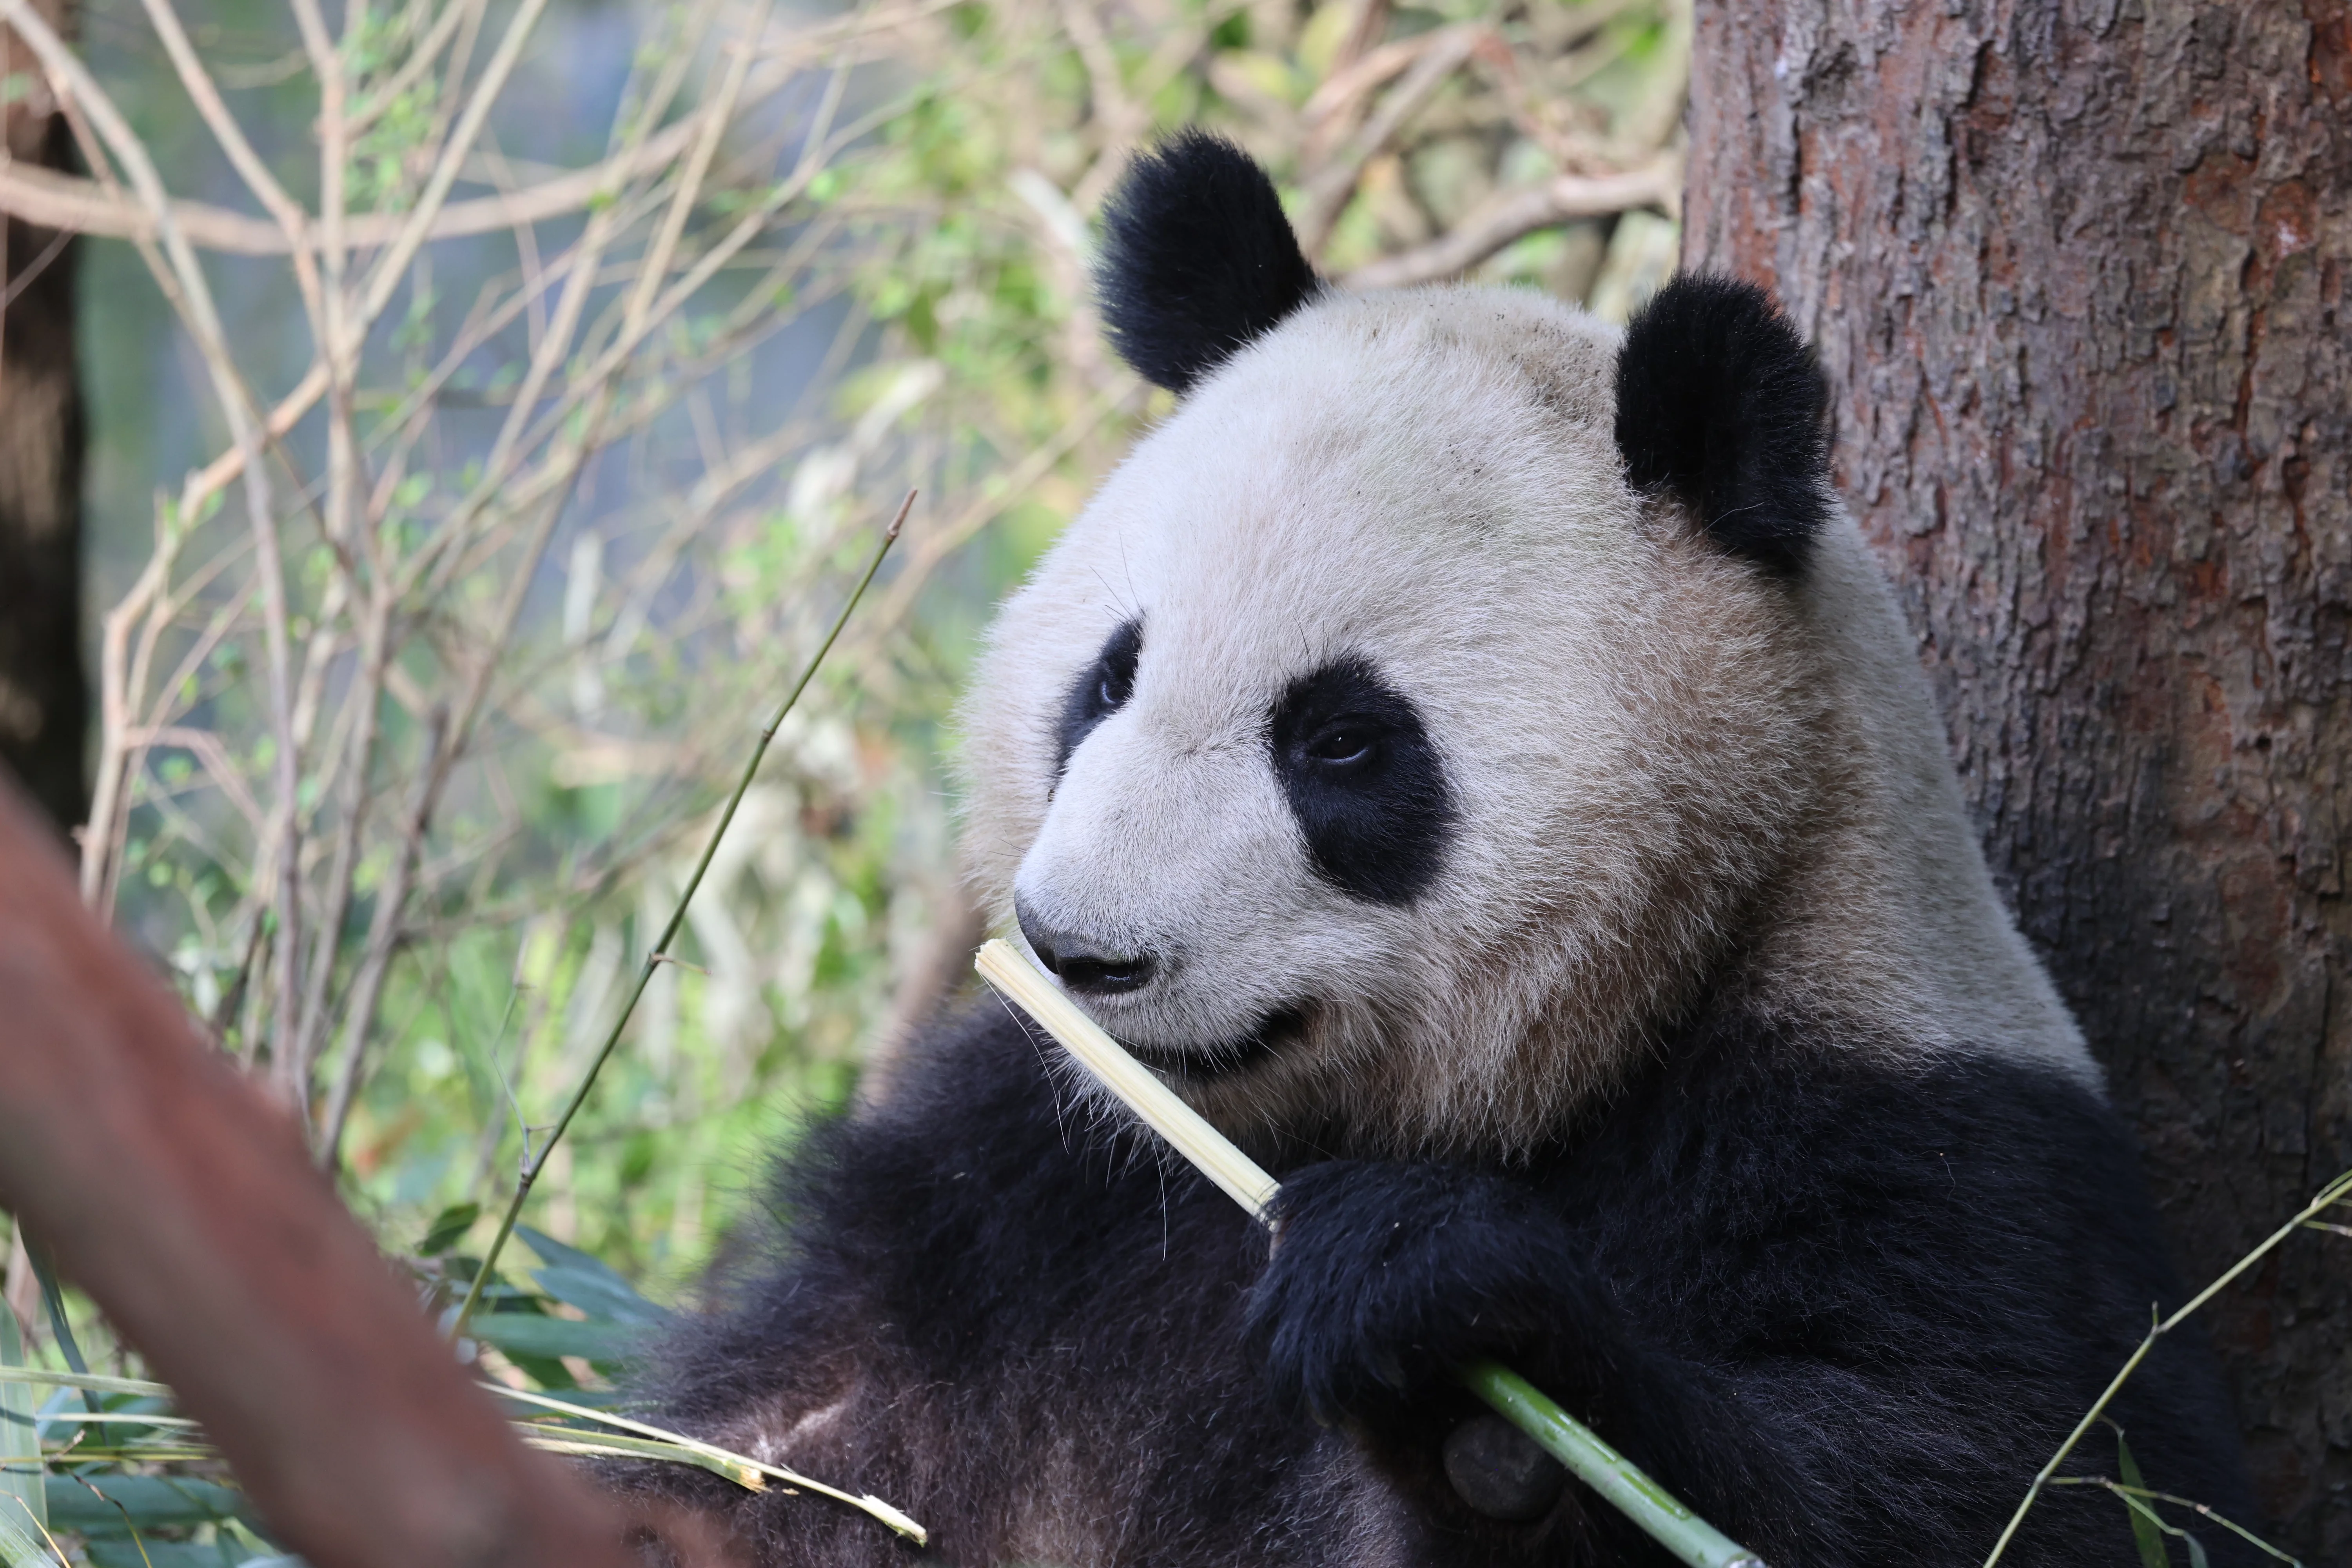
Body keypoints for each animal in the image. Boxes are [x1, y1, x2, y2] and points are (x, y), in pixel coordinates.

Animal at [611, 131, 2260, 1567]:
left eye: (1341, 741)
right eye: (1108, 679)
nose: (1084, 952)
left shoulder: (1928, 1148)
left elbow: (2013, 1487)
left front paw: (1459, 1355)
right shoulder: (1005, 1195)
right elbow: (767, 1452)